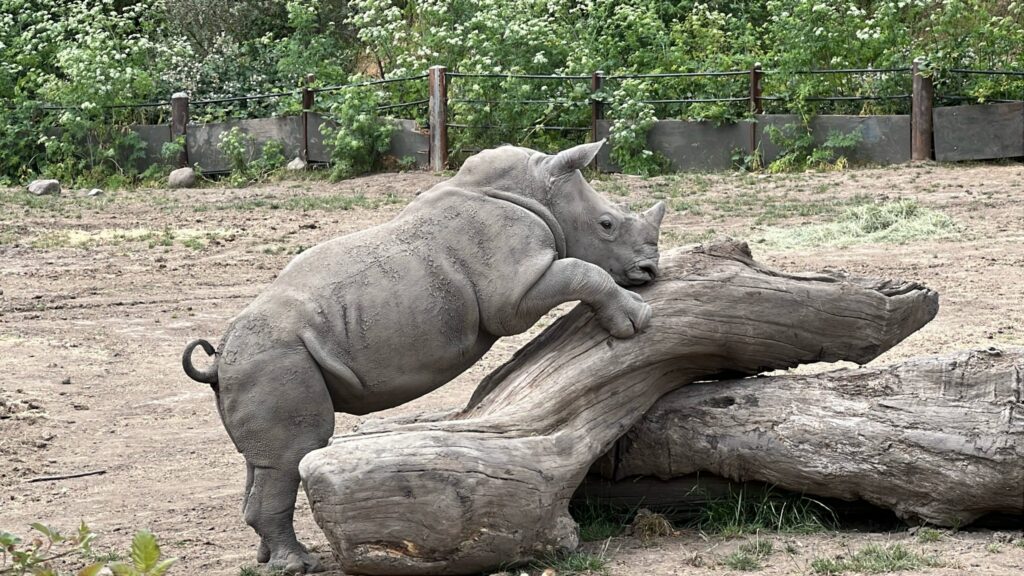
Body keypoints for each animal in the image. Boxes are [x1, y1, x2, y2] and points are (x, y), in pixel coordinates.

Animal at [182, 141, 665, 573]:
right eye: (606, 224)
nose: (649, 271)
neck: (540, 190)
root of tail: (219, 359)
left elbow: (580, 272)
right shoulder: (512, 293)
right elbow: (583, 271)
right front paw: (637, 319)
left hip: (257, 363)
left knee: (262, 460)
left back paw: (268, 560)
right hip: (273, 357)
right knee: (293, 452)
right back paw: (299, 565)